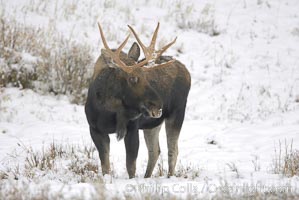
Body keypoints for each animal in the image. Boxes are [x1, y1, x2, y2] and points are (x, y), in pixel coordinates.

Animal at [85, 23, 191, 178]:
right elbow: (105, 166)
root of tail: (186, 71)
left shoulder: (133, 127)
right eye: (133, 78)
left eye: (146, 75)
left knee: (172, 150)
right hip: (152, 124)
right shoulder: (95, 129)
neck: (108, 111)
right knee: (155, 151)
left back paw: (169, 176)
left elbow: (131, 166)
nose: (158, 104)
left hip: (177, 113)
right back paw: (147, 176)